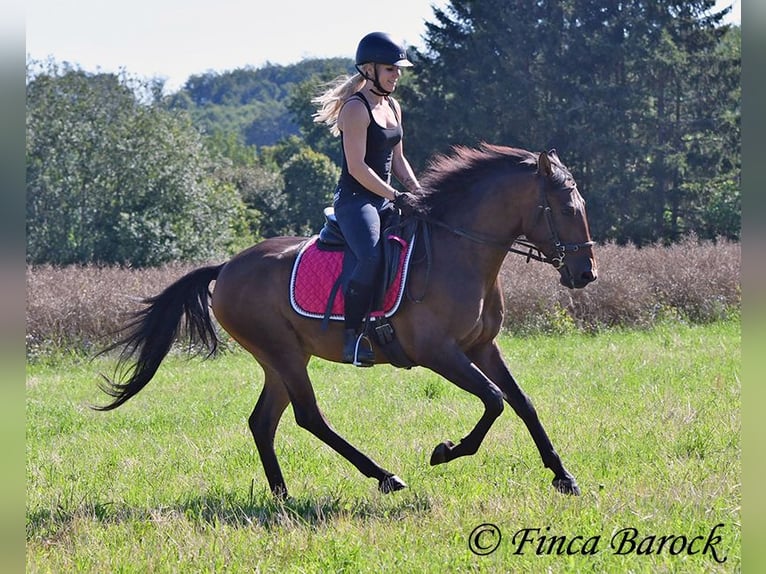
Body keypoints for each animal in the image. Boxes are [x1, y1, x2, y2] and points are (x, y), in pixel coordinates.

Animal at [94, 144, 600, 500]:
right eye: (567, 209)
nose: (586, 274)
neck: (461, 252)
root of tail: (227, 267)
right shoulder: (439, 353)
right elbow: (494, 401)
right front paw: (445, 452)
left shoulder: (481, 348)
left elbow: (522, 403)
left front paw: (563, 477)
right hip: (282, 353)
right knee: (309, 417)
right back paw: (384, 477)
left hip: (281, 360)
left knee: (263, 422)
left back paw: (282, 495)